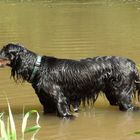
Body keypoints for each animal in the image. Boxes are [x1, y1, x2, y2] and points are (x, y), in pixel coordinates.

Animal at [0, 43, 140, 117]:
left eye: (3, 52)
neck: (39, 67)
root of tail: (133, 65)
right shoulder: (47, 104)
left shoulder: (61, 101)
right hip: (113, 96)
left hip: (124, 96)